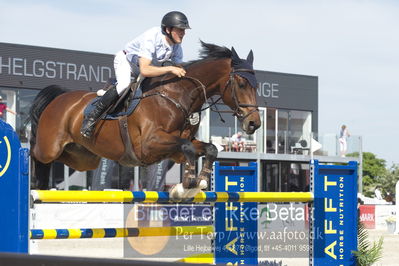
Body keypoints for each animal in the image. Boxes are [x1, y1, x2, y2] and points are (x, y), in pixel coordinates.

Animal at [28, 41, 262, 198]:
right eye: (242, 84)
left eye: (256, 86)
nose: (254, 123)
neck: (176, 96)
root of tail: (59, 97)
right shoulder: (149, 145)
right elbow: (187, 147)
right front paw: (187, 183)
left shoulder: (174, 149)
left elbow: (209, 148)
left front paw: (200, 181)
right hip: (50, 147)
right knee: (35, 154)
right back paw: (33, 181)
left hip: (82, 157)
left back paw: (42, 186)